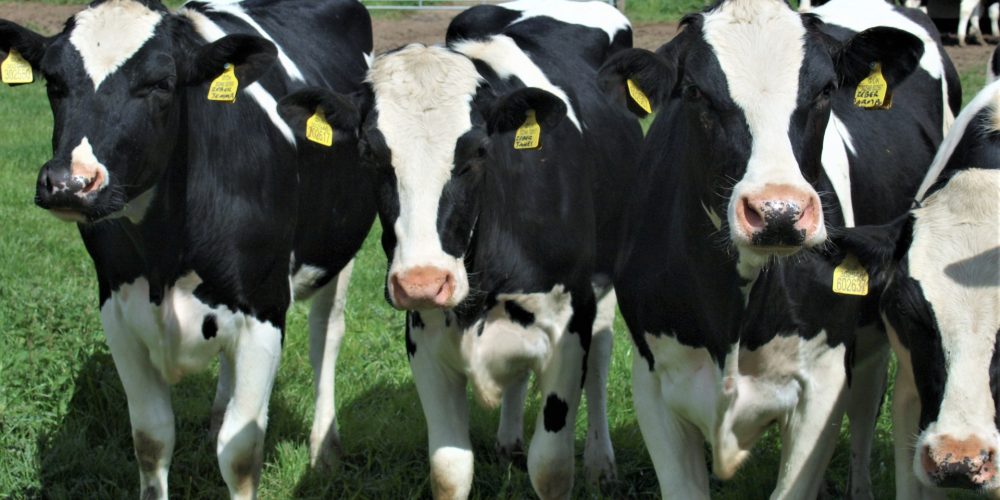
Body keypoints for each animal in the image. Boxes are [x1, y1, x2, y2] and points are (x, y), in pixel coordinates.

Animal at [0, 0, 375, 497]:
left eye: (161, 84)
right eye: (55, 83)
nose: (69, 184)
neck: (166, 252)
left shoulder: (264, 310)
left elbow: (240, 452)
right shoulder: (117, 309)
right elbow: (151, 439)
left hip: (338, 251)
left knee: (325, 336)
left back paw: (325, 448)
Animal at [278, 1, 639, 498]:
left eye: (478, 151)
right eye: (370, 153)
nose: (422, 283)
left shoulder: (569, 327)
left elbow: (551, 466)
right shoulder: (425, 340)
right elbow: (449, 469)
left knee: (601, 359)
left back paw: (601, 462)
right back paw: (509, 441)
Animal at [597, 0, 958, 497]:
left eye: (826, 90)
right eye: (694, 91)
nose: (778, 213)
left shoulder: (823, 380)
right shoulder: (653, 382)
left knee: (867, 398)